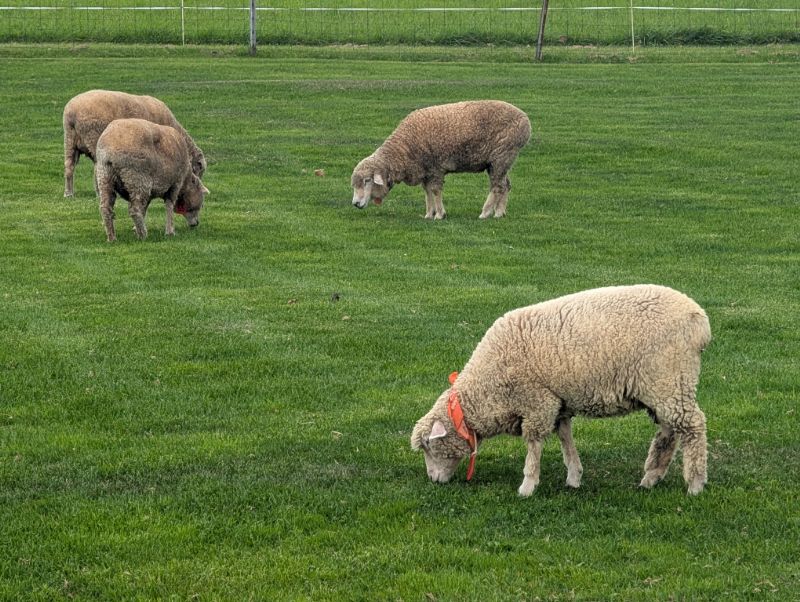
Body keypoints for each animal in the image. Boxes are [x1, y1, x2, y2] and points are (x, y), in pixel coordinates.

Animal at [63, 89, 206, 197]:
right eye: (198, 170)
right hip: (94, 136)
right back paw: (99, 193)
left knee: (69, 165)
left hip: (70, 140)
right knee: (98, 166)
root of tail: (72, 112)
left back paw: (68, 193)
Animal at [351, 100, 531, 219]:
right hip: (500, 161)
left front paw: (440, 214)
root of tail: (525, 119)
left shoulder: (435, 167)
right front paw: (429, 214)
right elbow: (427, 191)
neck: (403, 149)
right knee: (505, 185)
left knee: (496, 186)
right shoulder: (425, 169)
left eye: (367, 181)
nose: (355, 204)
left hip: (501, 156)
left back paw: (485, 213)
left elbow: (436, 190)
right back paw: (500, 212)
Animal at [411, 284, 712, 496]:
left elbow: (534, 445)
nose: (433, 480)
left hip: (669, 378)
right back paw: (651, 477)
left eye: (429, 446)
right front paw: (574, 477)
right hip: (664, 387)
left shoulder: (537, 401)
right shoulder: (558, 403)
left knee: (693, 426)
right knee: (669, 431)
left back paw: (695, 483)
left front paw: (527, 485)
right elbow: (566, 439)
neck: (487, 388)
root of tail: (700, 321)